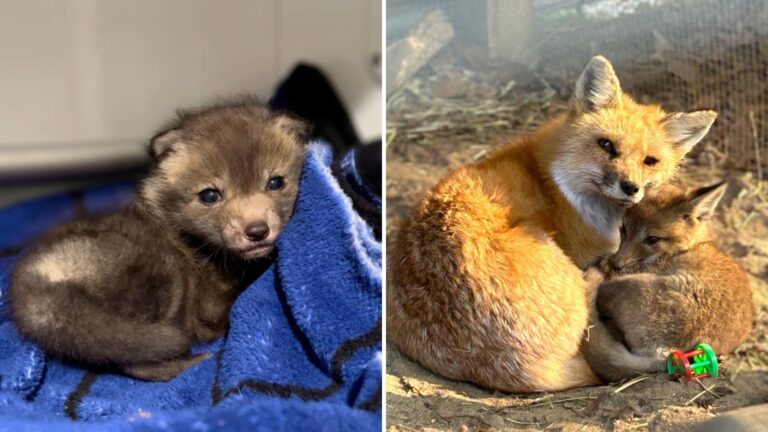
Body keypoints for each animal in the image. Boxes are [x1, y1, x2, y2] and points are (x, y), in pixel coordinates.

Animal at [11, 97, 308, 381]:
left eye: (276, 182)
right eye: (210, 196)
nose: (257, 231)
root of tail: (30, 279)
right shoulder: (212, 308)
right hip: (157, 281)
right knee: (132, 358)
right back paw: (194, 363)